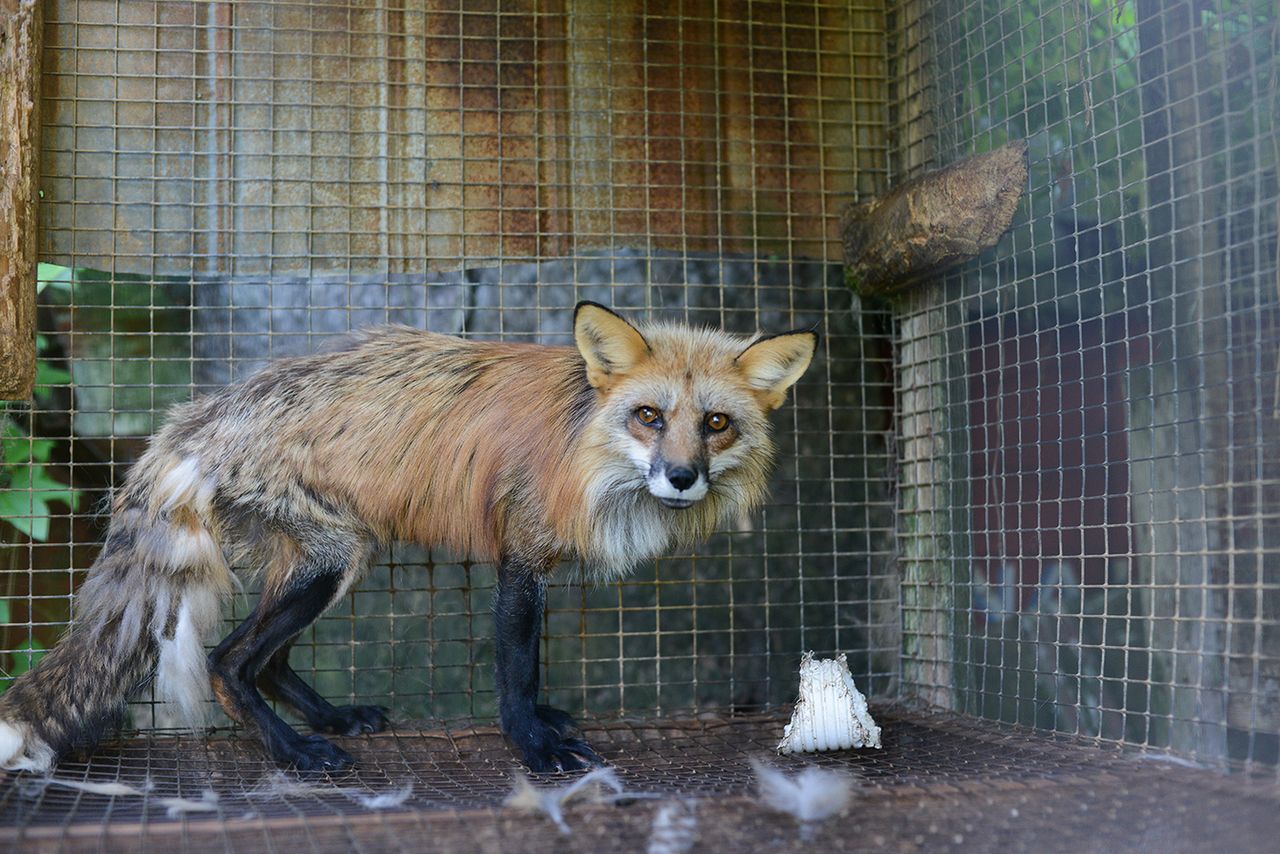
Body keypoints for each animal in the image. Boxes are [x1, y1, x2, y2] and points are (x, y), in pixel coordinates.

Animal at [0, 302, 814, 773]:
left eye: (716, 423)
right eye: (649, 415)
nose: (681, 476)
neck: (584, 446)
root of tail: (199, 416)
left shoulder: (536, 564)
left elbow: (531, 669)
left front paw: (543, 725)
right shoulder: (521, 556)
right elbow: (516, 670)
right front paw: (532, 745)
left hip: (336, 559)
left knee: (269, 660)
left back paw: (332, 718)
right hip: (329, 562)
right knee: (229, 661)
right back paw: (294, 751)